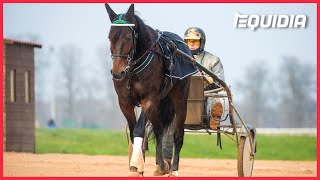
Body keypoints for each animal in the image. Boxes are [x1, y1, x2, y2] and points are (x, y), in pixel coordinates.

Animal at [105, 3, 196, 176]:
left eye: (128, 37)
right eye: (110, 37)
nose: (118, 72)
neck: (133, 69)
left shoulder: (149, 98)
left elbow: (139, 130)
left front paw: (135, 164)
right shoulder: (124, 102)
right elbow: (134, 131)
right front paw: (138, 167)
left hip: (180, 98)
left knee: (178, 134)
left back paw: (174, 169)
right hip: (158, 104)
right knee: (159, 130)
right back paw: (161, 166)